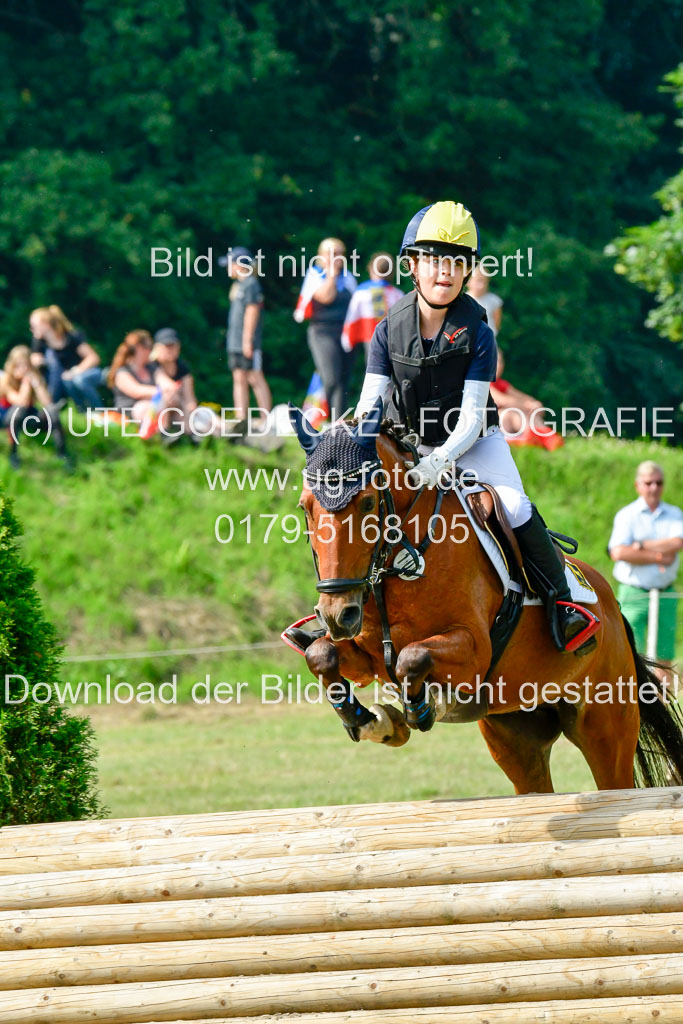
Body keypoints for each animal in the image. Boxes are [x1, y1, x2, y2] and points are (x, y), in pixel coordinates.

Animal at [288, 399, 683, 794]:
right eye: (306, 507)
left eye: (368, 502)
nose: (337, 614)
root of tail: (611, 604)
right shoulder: (364, 655)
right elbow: (320, 654)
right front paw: (373, 721)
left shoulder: (474, 651)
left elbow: (412, 658)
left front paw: (424, 708)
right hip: (516, 734)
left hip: (605, 724)